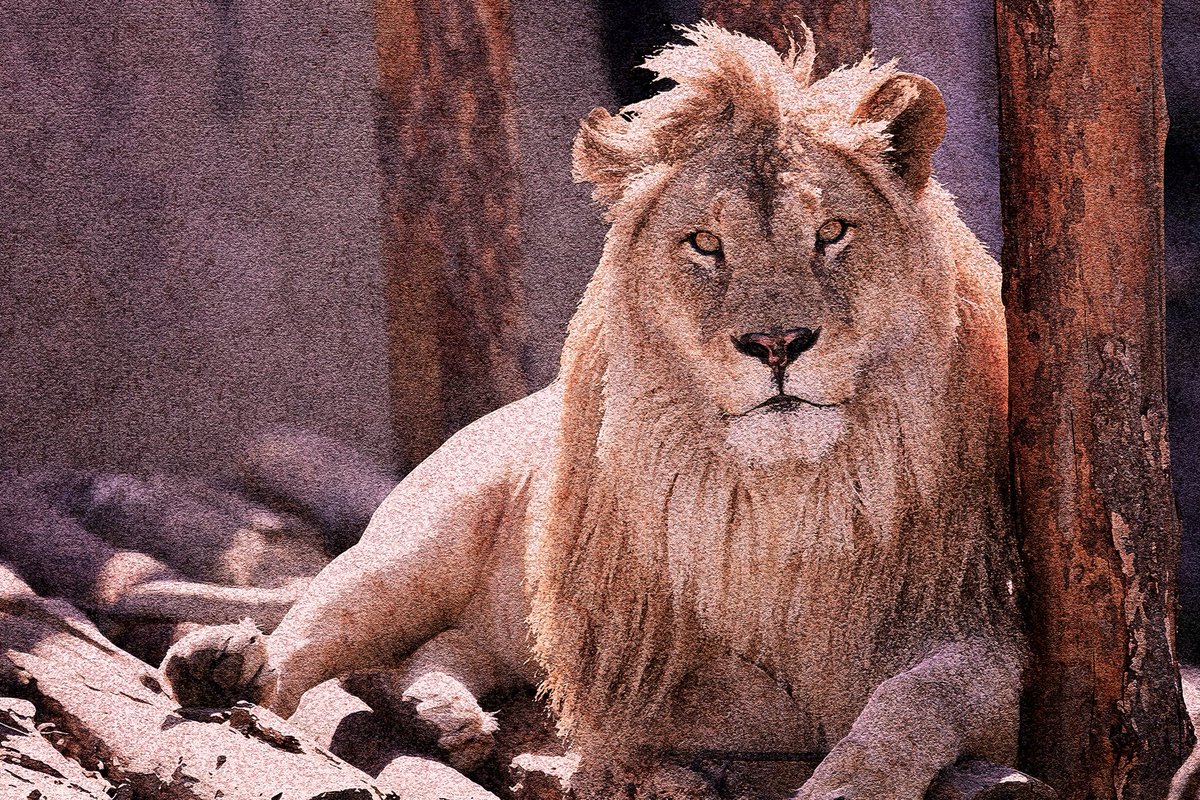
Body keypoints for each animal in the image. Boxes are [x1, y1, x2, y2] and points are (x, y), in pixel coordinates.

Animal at [163, 23, 1026, 800]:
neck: (787, 486)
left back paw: (445, 714)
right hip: (416, 548)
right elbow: (761, 698)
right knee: (326, 634)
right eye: (705, 243)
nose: (777, 343)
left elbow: (918, 694)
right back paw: (226, 668)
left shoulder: (987, 627)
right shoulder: (640, 663)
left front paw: (852, 777)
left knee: (439, 652)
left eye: (833, 232)